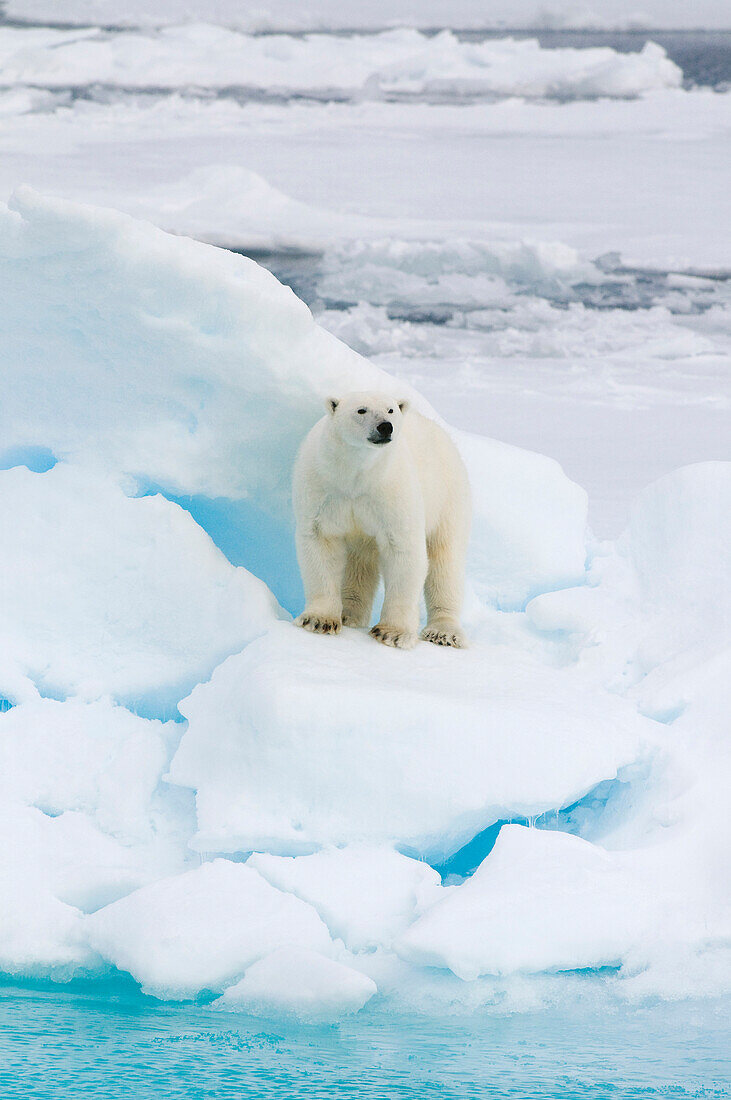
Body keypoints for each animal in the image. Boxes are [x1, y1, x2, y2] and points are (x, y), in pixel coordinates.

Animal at [294, 391, 470, 646]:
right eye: (361, 410)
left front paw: (392, 633)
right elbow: (321, 542)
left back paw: (443, 632)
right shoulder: (323, 487)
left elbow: (403, 551)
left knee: (445, 560)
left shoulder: (392, 492)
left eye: (390, 410)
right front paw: (319, 620)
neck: (357, 475)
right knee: (360, 562)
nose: (386, 427)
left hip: (447, 498)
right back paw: (349, 614)